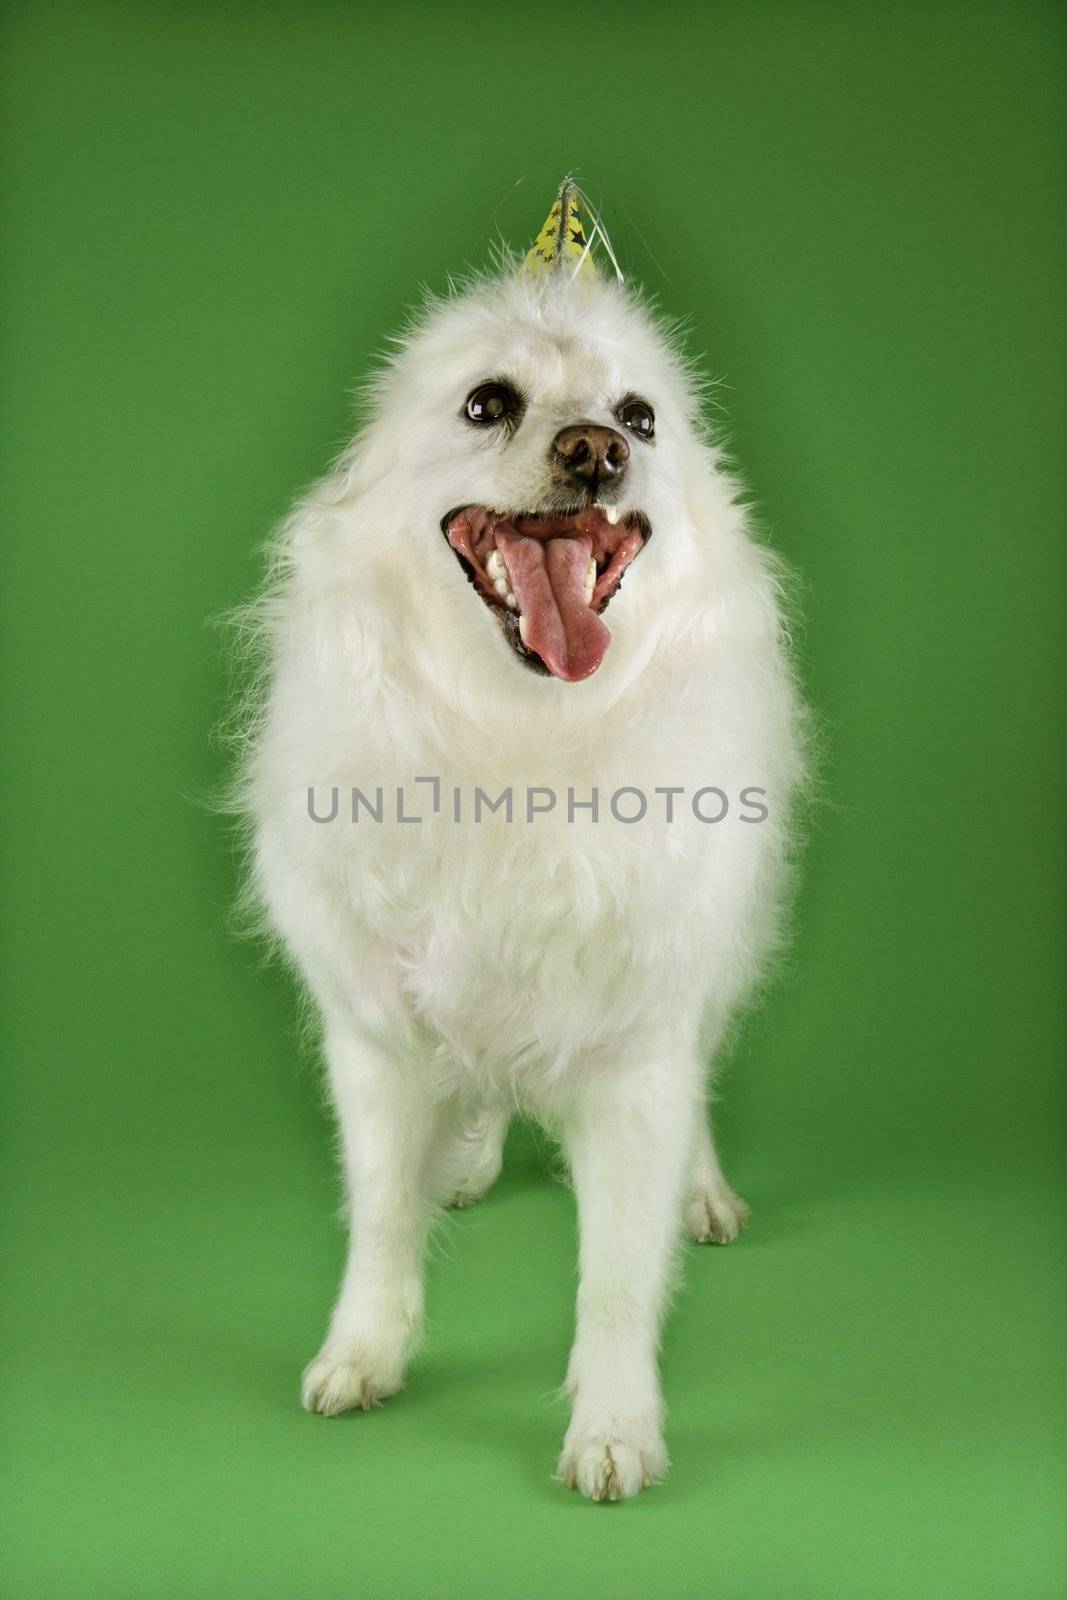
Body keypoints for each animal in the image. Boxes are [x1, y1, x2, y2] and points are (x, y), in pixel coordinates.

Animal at [238, 184, 806, 1497]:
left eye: (639, 416)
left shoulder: (639, 1044)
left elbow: (616, 1276)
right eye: (487, 402)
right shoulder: (374, 1033)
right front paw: (363, 1355)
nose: (597, 450)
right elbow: (378, 1219)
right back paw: (467, 1157)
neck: (515, 738)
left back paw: (702, 1193)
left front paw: (613, 1428)